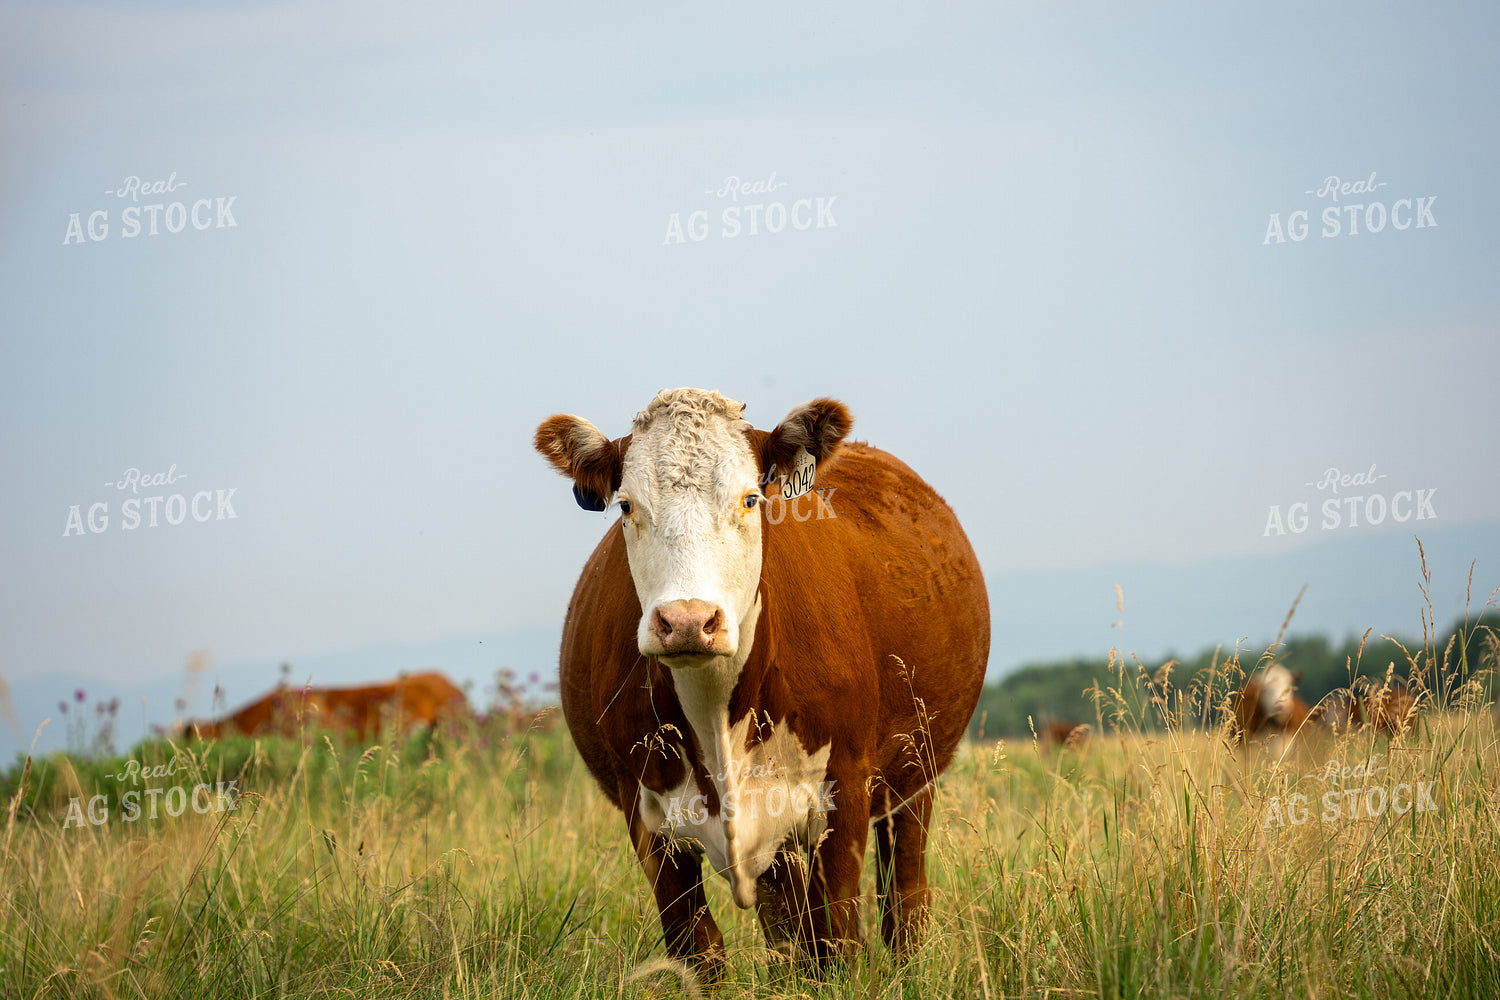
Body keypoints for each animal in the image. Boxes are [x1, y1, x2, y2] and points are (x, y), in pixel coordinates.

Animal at [535, 388, 990, 978]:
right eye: (627, 506)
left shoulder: (845, 790)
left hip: (917, 770)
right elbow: (701, 951)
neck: (717, 714)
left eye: (751, 499)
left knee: (904, 897)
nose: (688, 620)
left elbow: (840, 939)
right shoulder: (649, 820)